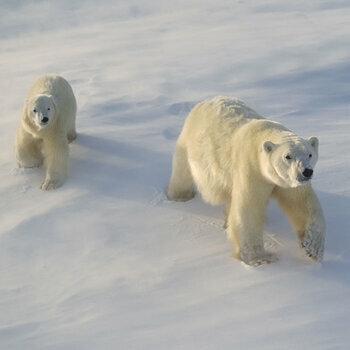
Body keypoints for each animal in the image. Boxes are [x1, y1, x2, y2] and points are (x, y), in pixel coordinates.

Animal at [167, 95, 326, 266]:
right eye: (287, 156)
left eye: (309, 154)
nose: (306, 172)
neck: (262, 137)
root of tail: (207, 100)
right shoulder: (252, 169)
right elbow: (249, 209)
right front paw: (260, 259)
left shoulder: (288, 181)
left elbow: (302, 204)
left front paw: (312, 246)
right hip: (189, 144)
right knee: (182, 172)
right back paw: (179, 196)